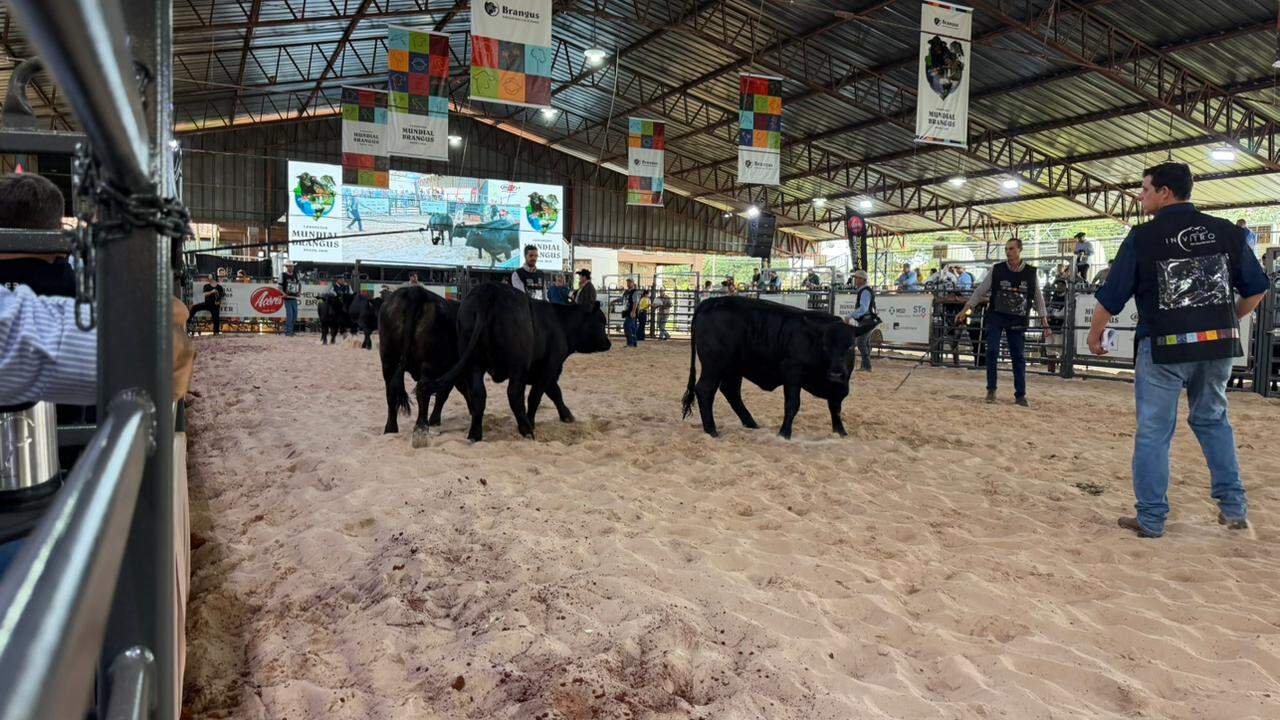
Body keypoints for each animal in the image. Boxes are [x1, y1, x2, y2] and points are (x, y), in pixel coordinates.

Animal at [378, 286, 470, 446]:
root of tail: (415, 291)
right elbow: (443, 394)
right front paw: (434, 420)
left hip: (388, 360)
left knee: (391, 392)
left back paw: (390, 429)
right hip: (429, 363)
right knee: (423, 392)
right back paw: (421, 430)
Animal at [425, 282, 610, 442]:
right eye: (601, 322)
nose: (608, 343)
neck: (560, 323)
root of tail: (487, 291)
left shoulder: (544, 372)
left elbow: (555, 392)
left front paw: (566, 415)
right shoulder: (549, 367)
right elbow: (537, 396)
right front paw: (532, 421)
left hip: (474, 364)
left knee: (478, 394)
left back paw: (475, 434)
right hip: (516, 367)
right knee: (513, 394)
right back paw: (526, 429)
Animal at [681, 296, 880, 439]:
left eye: (849, 346)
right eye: (825, 346)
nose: (836, 373)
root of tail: (711, 302)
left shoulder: (838, 386)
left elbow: (835, 407)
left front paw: (841, 432)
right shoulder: (792, 371)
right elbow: (792, 404)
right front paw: (785, 433)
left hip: (733, 367)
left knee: (731, 391)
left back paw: (751, 423)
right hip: (715, 365)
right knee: (705, 390)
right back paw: (711, 430)